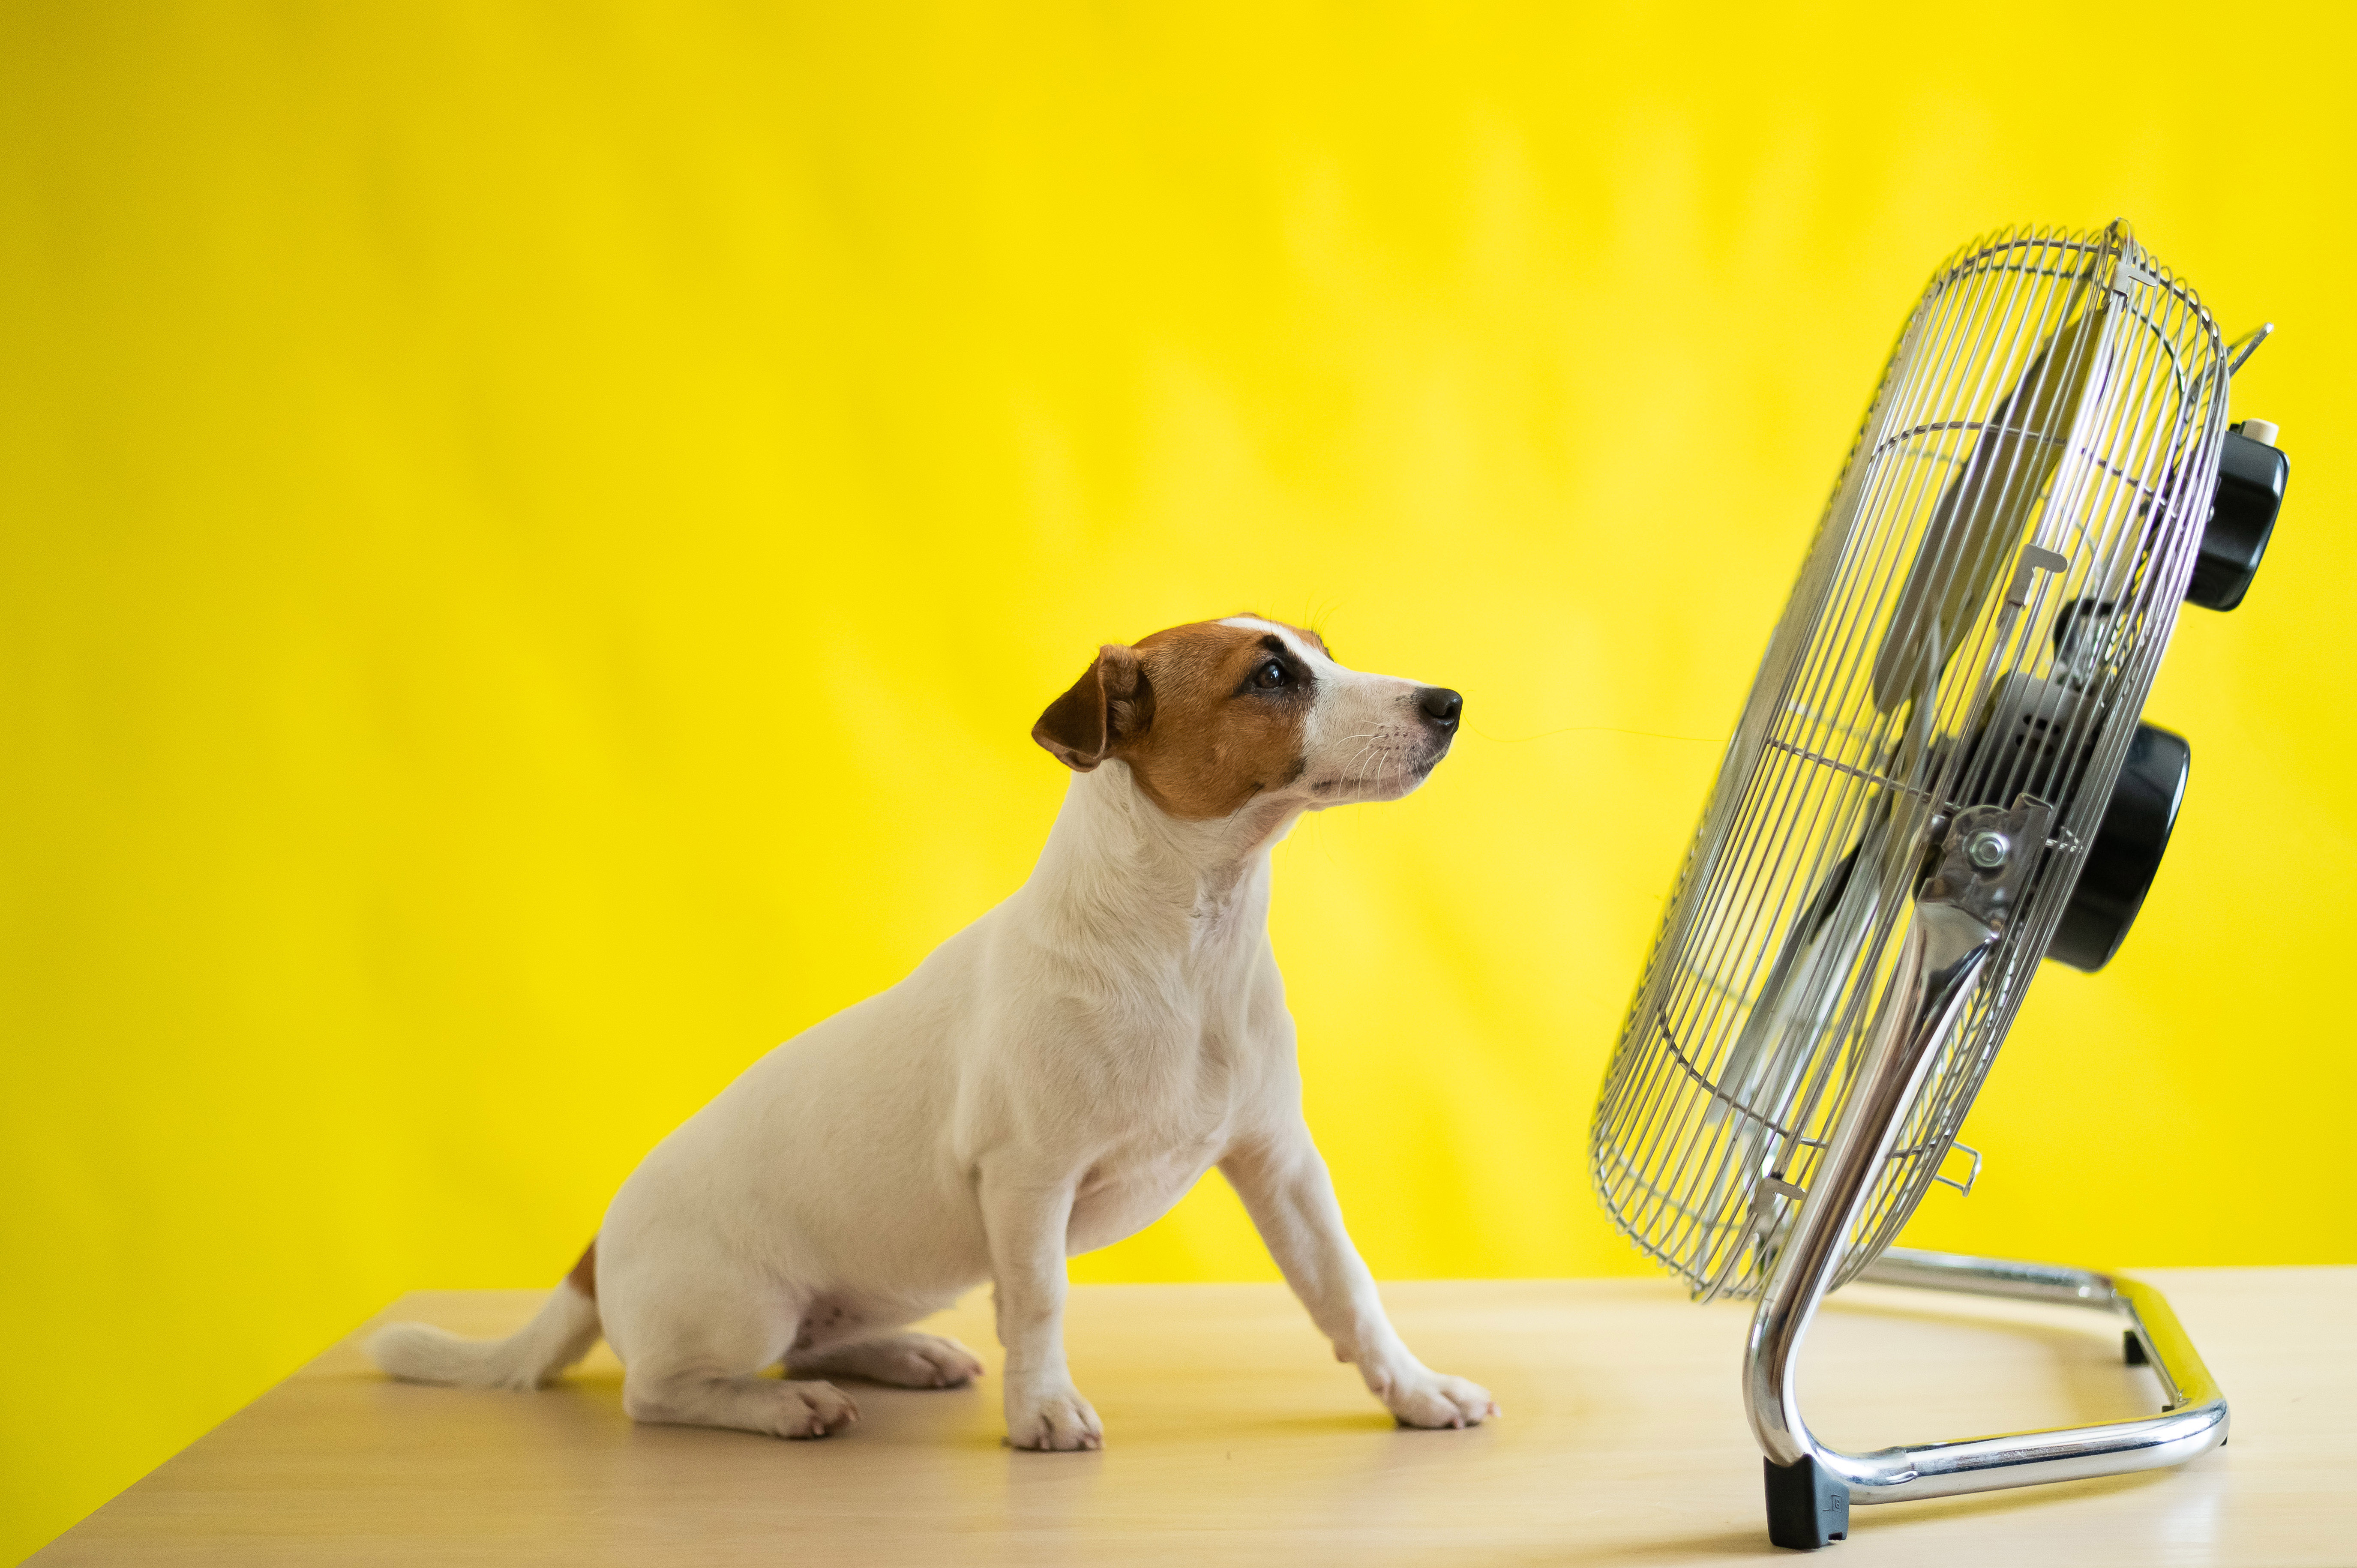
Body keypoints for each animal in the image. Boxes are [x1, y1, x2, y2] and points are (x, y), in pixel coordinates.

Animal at [377, 613, 1499, 1443]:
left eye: (1322, 648)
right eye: (1269, 675)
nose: (1447, 702)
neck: (1186, 946)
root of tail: (591, 1248)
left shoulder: (1279, 1162)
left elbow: (1346, 1287)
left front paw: (1416, 1387)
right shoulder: (1029, 1178)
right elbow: (1041, 1299)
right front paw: (1042, 1407)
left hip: (890, 1281)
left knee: (816, 1336)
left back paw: (899, 1357)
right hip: (741, 1301)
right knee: (662, 1388)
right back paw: (780, 1406)